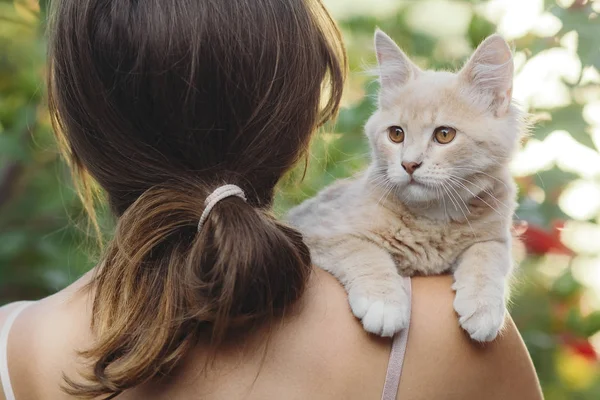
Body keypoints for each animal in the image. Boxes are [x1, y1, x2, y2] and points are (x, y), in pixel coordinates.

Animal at [288, 31, 524, 342]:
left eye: (444, 135)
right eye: (396, 134)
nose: (409, 164)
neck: (433, 219)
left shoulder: (495, 237)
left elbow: (488, 259)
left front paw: (483, 308)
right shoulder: (318, 231)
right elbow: (365, 252)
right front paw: (383, 303)